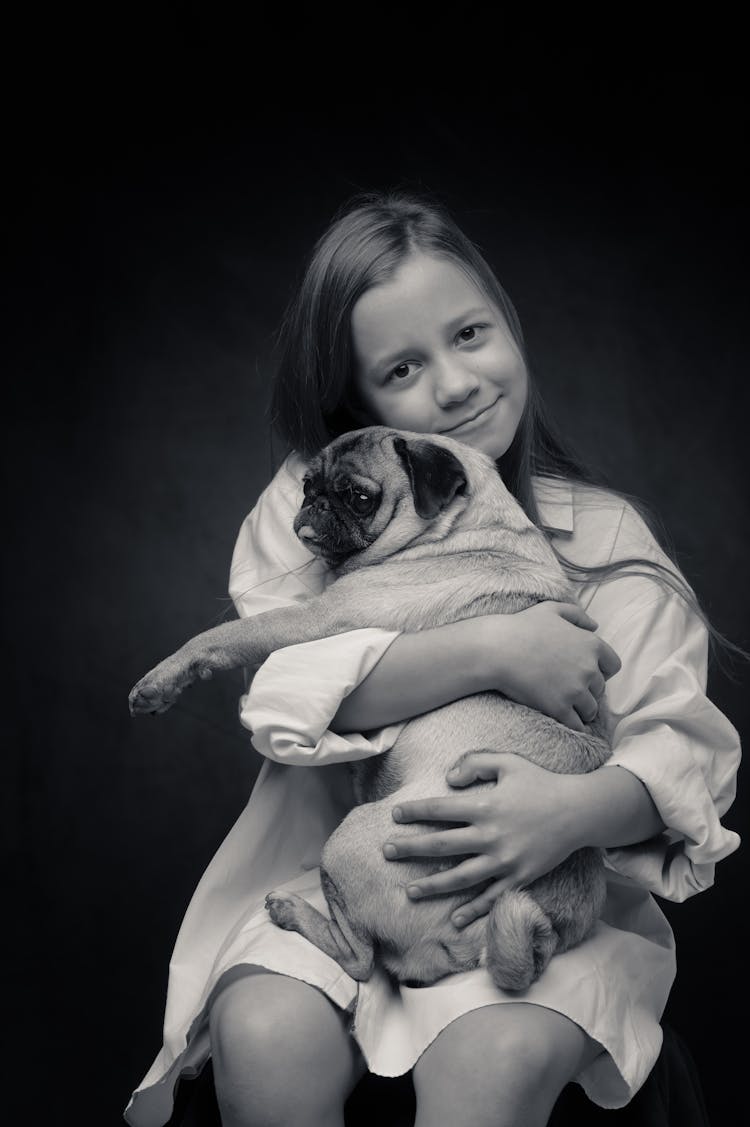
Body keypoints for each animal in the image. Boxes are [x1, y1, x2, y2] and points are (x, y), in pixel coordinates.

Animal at [128, 426, 609, 991]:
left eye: (358, 497)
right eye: (308, 484)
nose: (314, 503)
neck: (461, 530)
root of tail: (483, 943)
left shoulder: (318, 619)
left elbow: (227, 635)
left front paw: (160, 682)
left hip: (348, 843)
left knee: (360, 960)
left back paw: (293, 912)